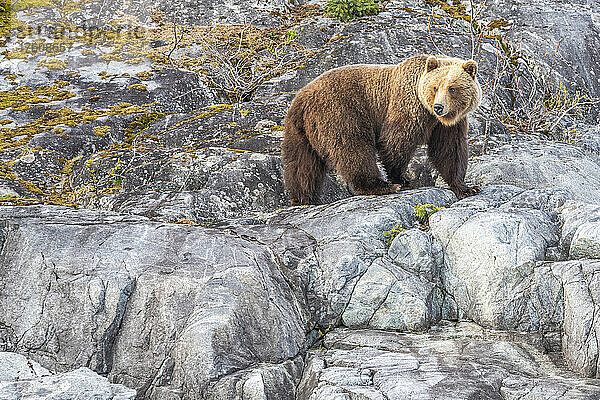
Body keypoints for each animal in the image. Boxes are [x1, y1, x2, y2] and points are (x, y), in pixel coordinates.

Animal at [282, 54, 482, 205]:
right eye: (435, 87)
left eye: (452, 88)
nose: (439, 107)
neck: (430, 113)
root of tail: (302, 98)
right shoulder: (407, 106)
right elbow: (396, 140)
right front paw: (401, 179)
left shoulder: (449, 124)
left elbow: (450, 150)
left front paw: (466, 188)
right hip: (340, 111)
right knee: (354, 148)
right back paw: (380, 186)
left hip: (299, 130)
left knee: (302, 163)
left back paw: (303, 197)